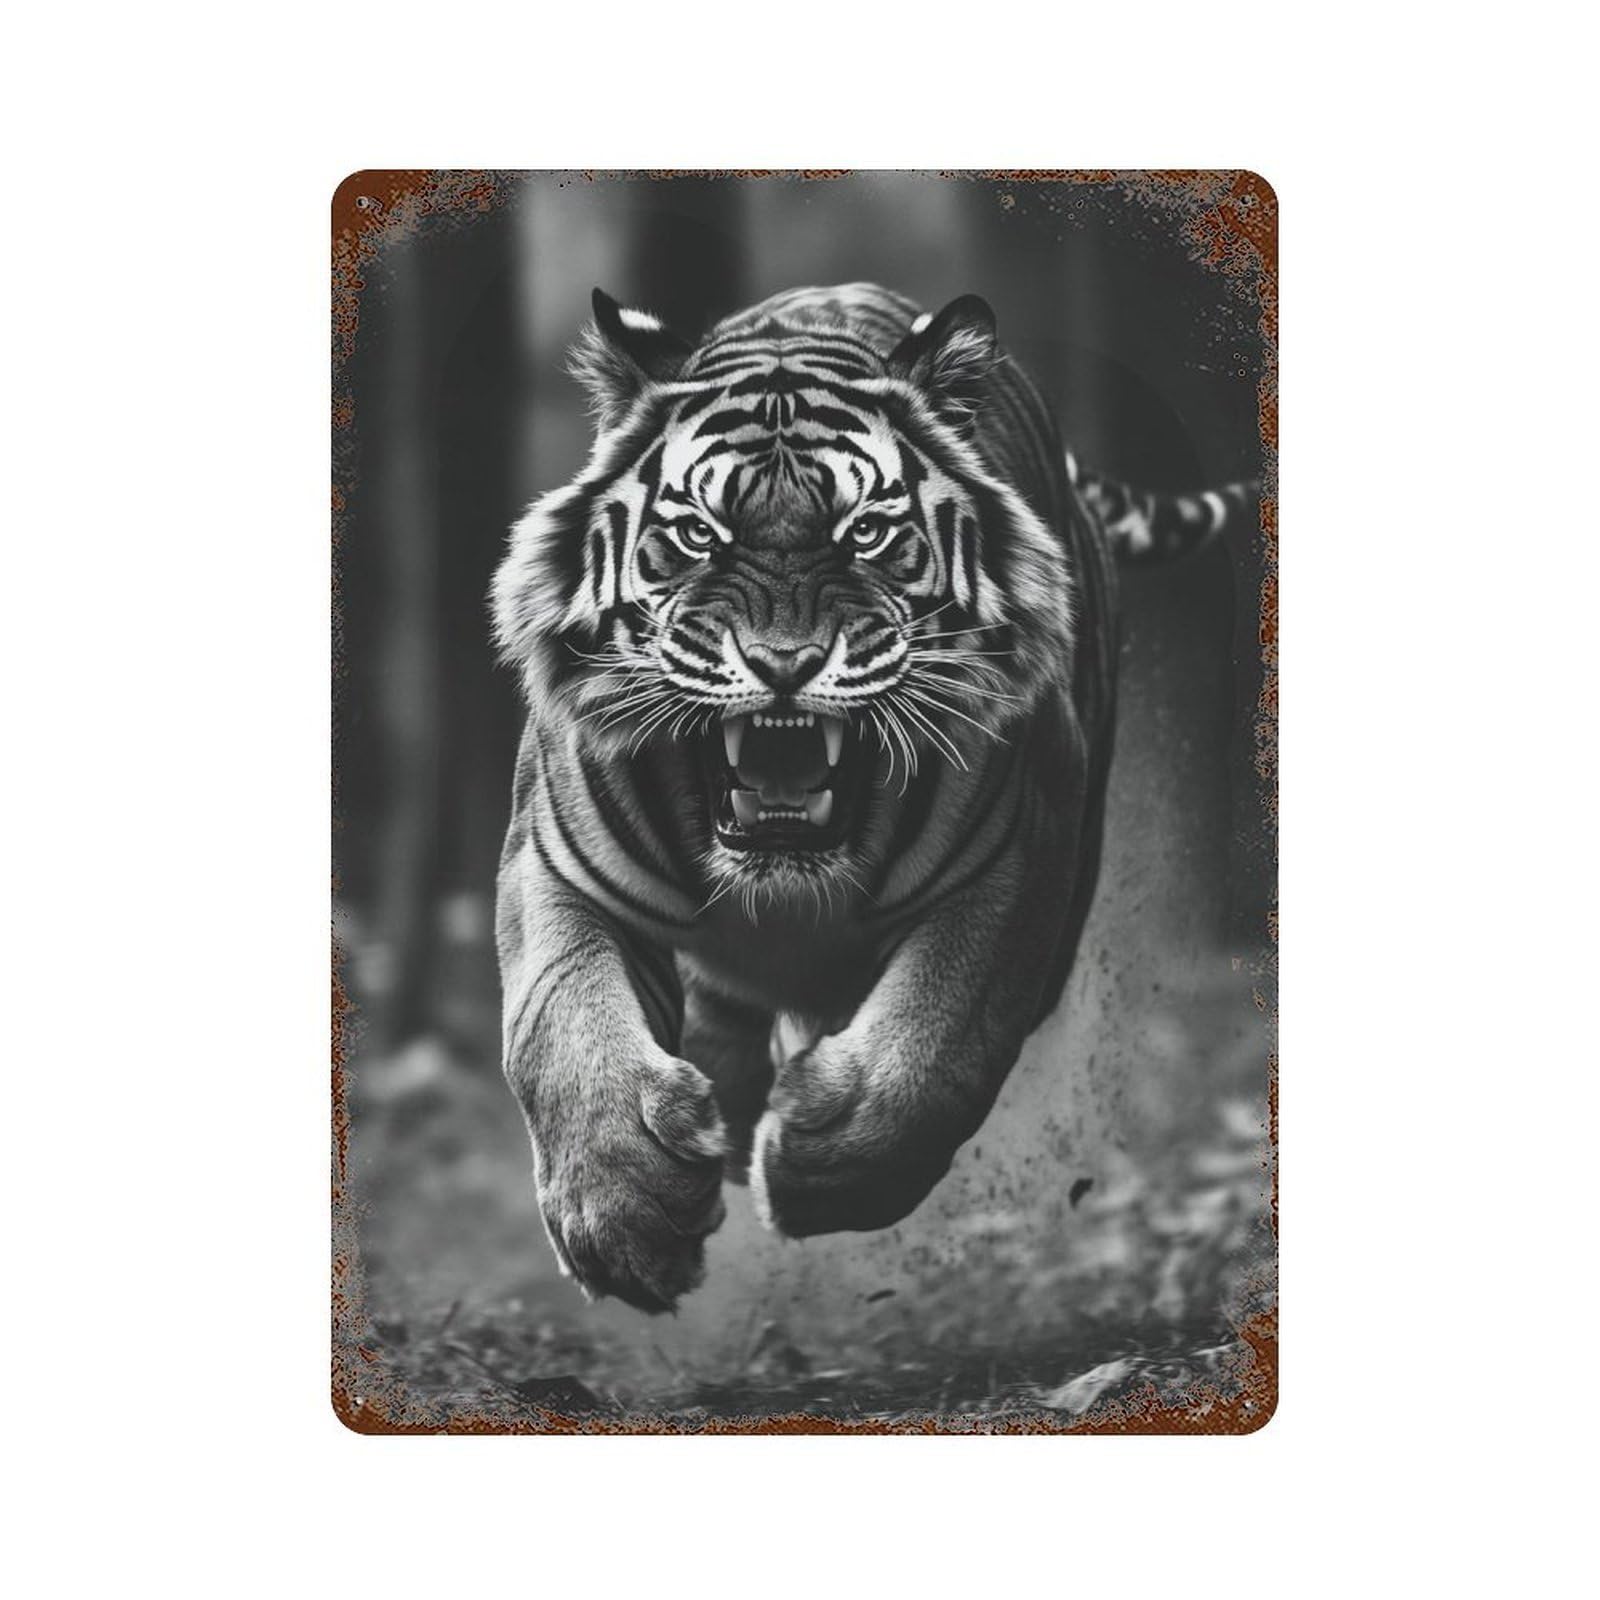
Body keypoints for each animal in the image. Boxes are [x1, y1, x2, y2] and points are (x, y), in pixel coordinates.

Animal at [491, 282, 1257, 1312]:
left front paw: (817, 1163)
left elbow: (934, 1050)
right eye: (696, 534)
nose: (782, 663)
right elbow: (558, 1029)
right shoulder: (555, 866)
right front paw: (623, 1219)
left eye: (867, 534)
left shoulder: (1020, 861)